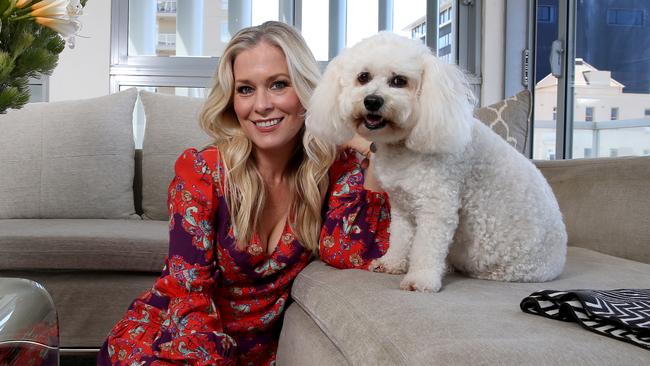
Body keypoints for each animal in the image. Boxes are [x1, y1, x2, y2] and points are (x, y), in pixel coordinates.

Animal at [306, 33, 564, 294]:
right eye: (363, 77)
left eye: (399, 81)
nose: (372, 101)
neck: (403, 146)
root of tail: (558, 262)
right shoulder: (401, 207)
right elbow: (399, 238)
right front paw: (391, 263)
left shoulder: (437, 206)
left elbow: (426, 247)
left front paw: (420, 279)